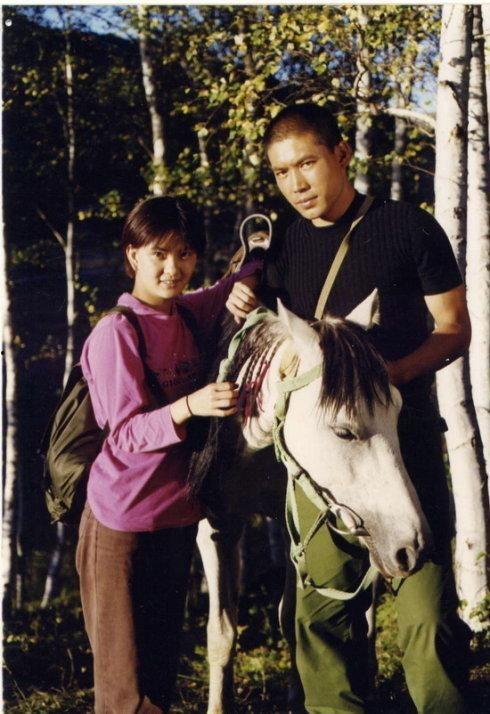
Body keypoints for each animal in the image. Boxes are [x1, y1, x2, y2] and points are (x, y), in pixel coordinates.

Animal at [189, 294, 432, 714]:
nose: (412, 546)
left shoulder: (295, 530)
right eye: (343, 431)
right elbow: (221, 632)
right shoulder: (217, 527)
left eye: (397, 413)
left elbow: (290, 620)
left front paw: (298, 695)